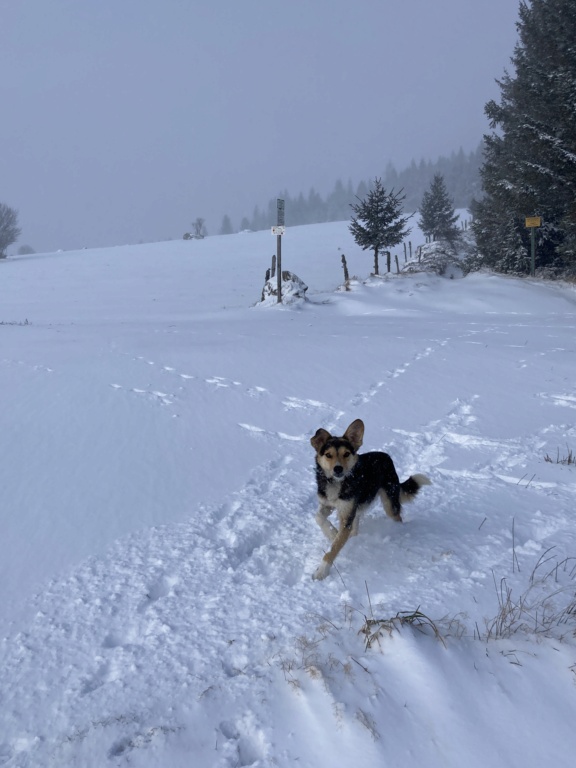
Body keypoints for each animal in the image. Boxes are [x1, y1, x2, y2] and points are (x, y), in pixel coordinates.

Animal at [310, 420, 428, 584]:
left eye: (346, 454)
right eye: (328, 455)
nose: (338, 469)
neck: (337, 483)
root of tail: (386, 456)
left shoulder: (346, 515)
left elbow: (332, 550)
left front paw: (321, 571)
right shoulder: (327, 504)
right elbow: (318, 517)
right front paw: (332, 533)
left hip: (389, 503)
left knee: (397, 517)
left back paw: (396, 530)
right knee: (355, 526)